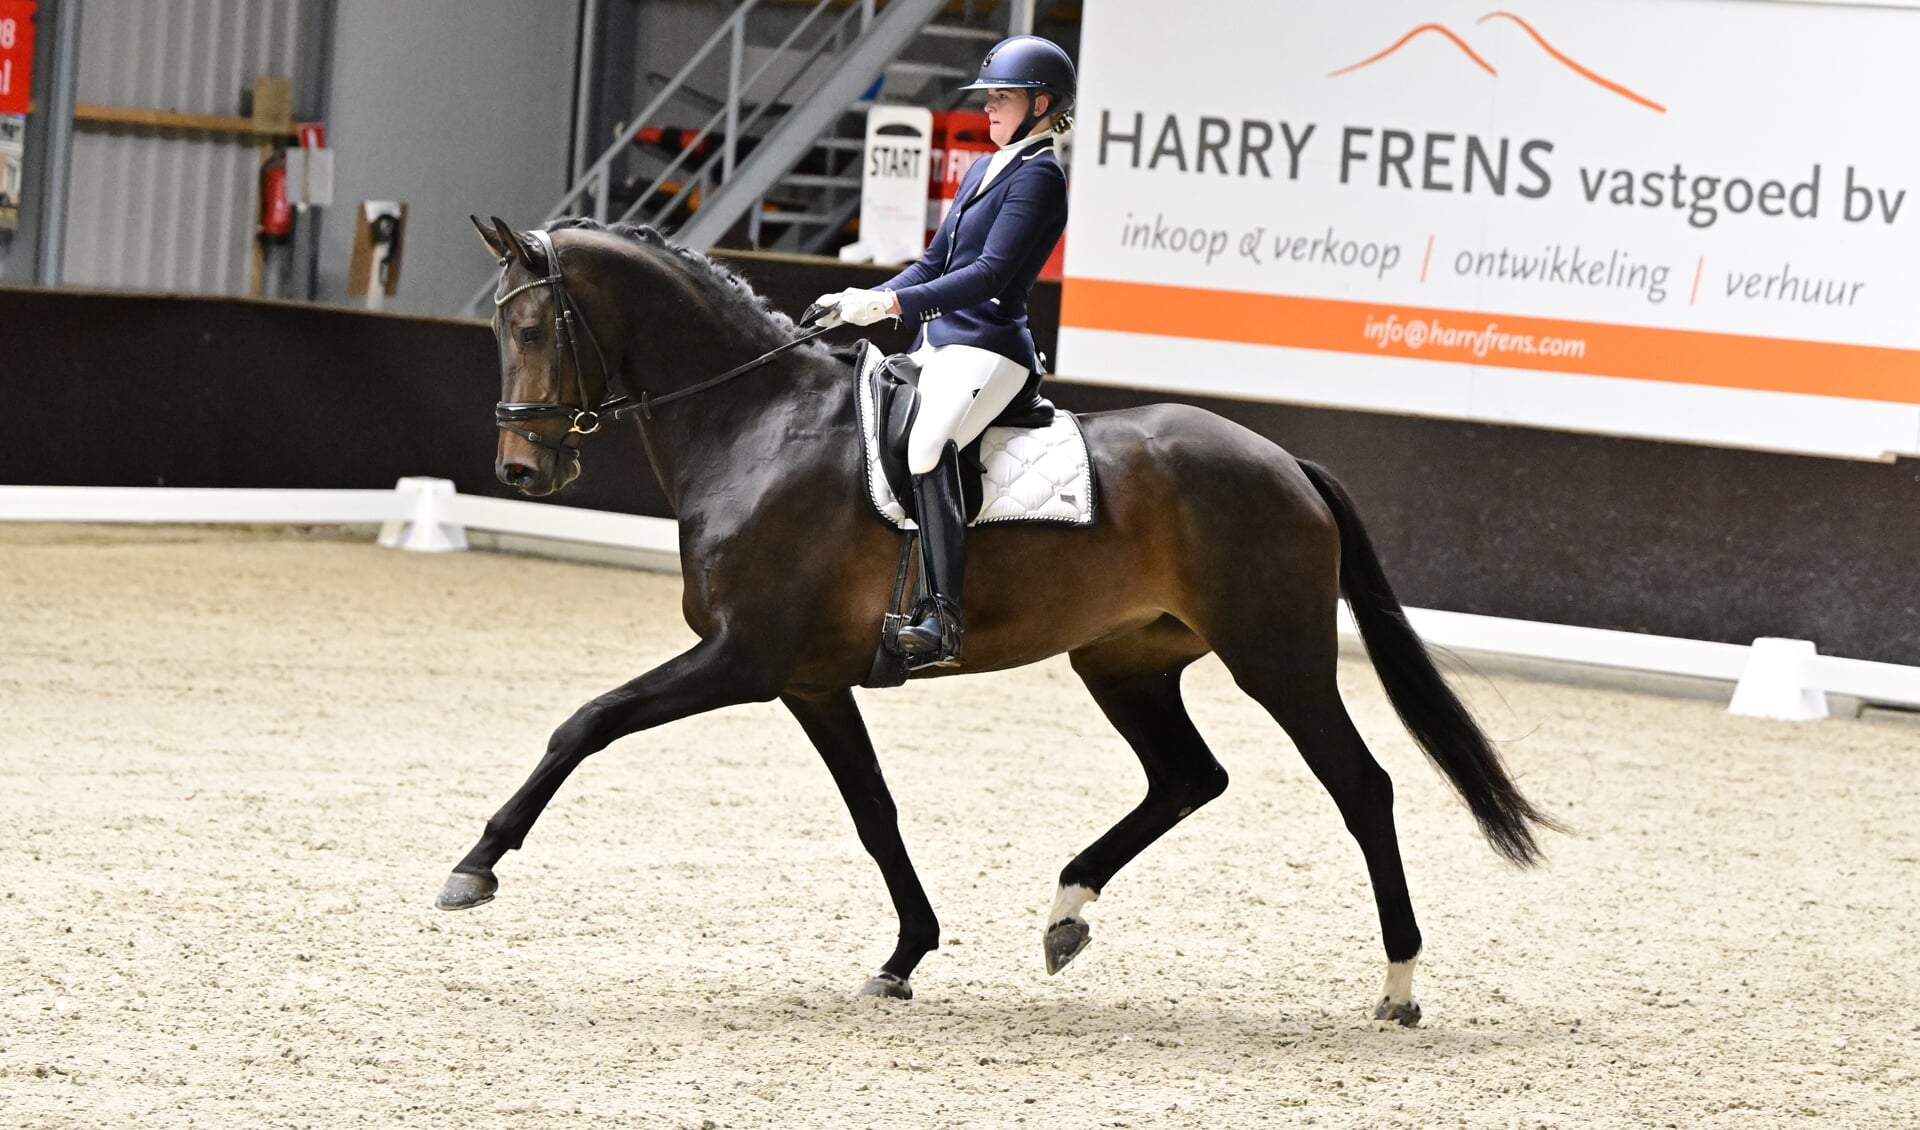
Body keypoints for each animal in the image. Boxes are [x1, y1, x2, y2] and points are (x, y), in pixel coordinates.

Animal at [439, 211, 1559, 1020]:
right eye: (493, 329)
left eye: (531, 328)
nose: (521, 470)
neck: (756, 425)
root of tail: (1284, 461)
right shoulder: (809, 680)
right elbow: (874, 811)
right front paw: (904, 954)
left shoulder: (740, 658)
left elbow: (584, 723)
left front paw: (474, 866)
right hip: (1122, 662)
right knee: (1189, 777)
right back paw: (1067, 912)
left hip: (1276, 658)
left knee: (1361, 787)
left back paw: (1399, 985)